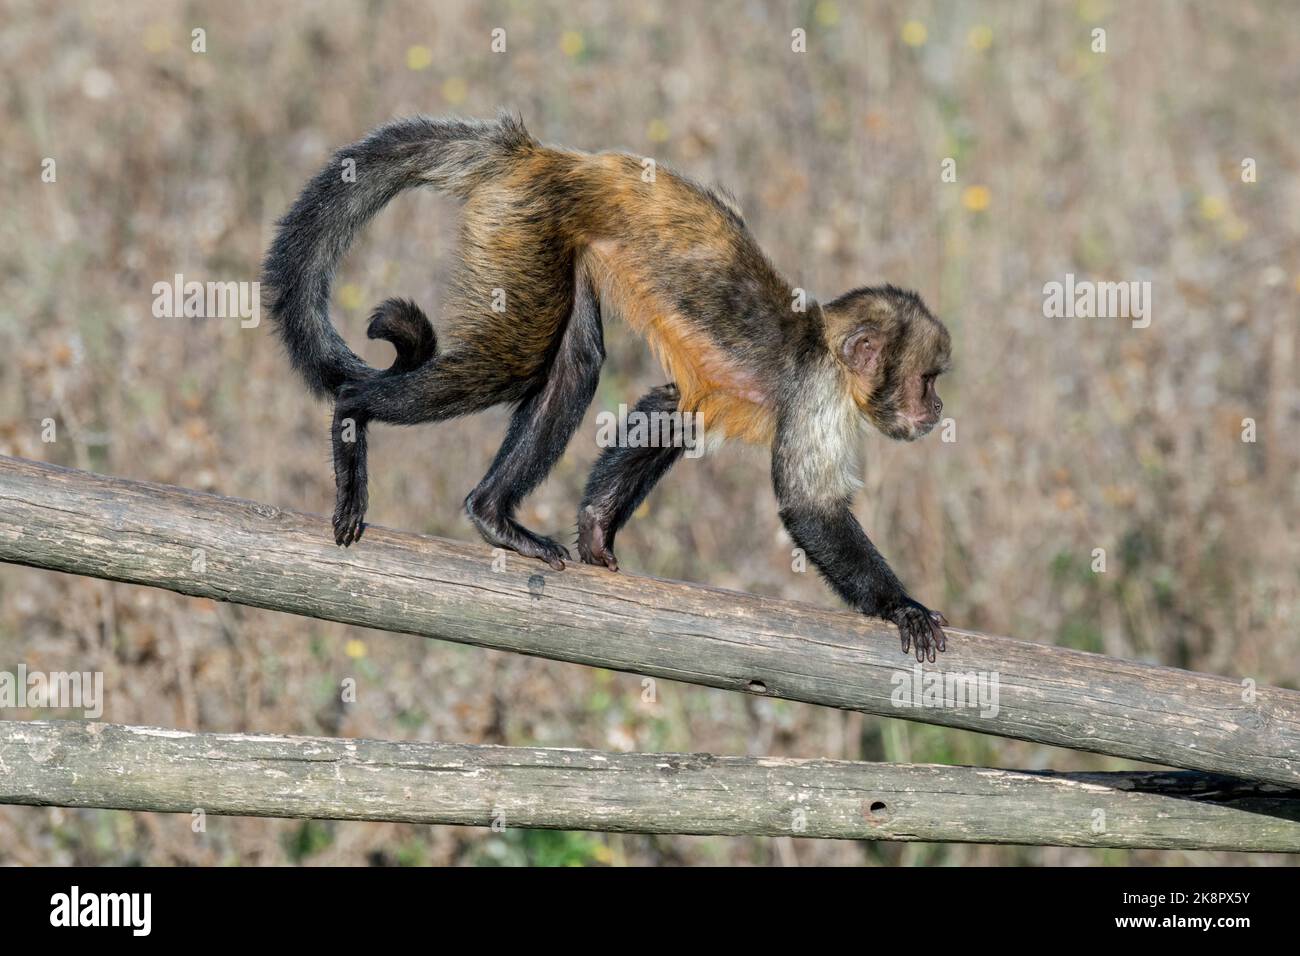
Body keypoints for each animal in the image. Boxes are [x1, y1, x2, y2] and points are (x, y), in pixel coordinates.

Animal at [263, 115, 956, 660]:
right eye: (924, 380)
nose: (937, 406)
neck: (824, 346)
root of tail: (548, 155)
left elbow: (672, 409)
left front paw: (595, 530)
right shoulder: (819, 391)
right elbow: (808, 506)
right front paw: (901, 606)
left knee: (575, 363)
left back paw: (492, 513)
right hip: (527, 221)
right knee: (517, 359)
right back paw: (355, 416)